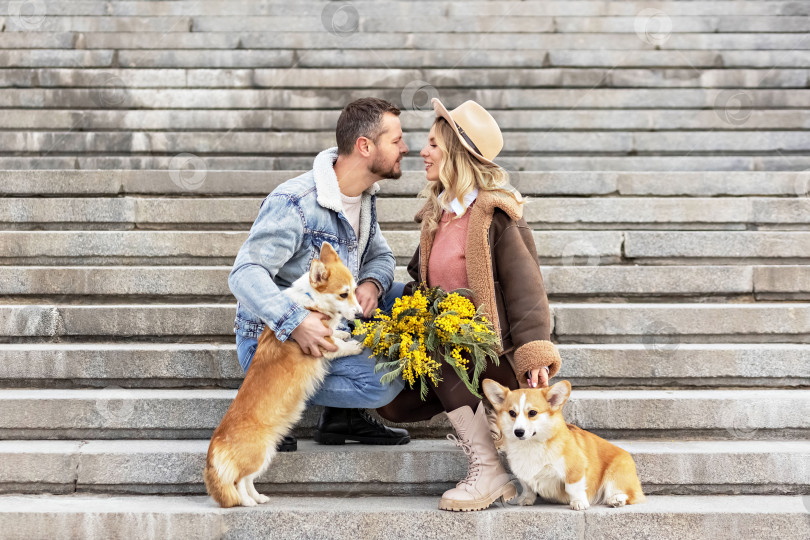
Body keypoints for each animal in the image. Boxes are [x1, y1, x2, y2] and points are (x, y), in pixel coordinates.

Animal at [204, 243, 364, 508]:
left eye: (355, 290)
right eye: (344, 294)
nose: (361, 314)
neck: (310, 300)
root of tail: (216, 445)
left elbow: (336, 334)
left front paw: (342, 333)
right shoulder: (321, 344)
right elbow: (338, 346)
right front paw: (355, 345)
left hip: (266, 455)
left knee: (248, 480)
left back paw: (258, 497)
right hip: (257, 455)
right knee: (238, 482)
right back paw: (246, 502)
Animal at [480, 378, 644, 508]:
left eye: (532, 413)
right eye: (512, 413)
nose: (518, 432)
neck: (531, 445)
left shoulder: (575, 470)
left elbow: (573, 488)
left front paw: (579, 503)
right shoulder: (523, 473)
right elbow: (527, 487)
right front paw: (526, 499)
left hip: (615, 474)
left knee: (631, 495)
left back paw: (617, 499)